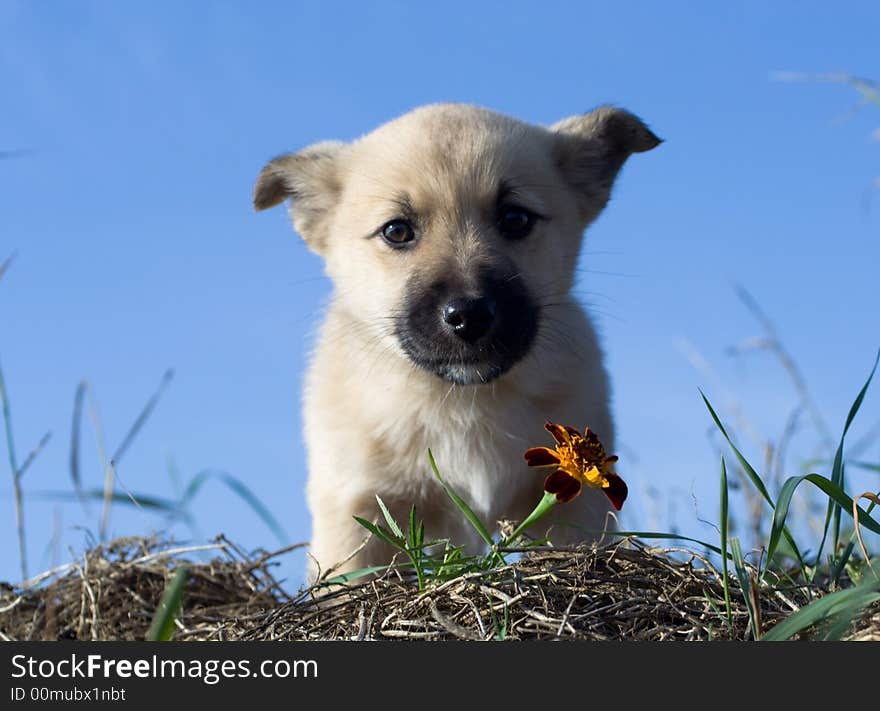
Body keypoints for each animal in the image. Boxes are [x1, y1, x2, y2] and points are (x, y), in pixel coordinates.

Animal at [251, 100, 656, 580]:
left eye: (515, 218)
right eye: (396, 231)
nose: (468, 315)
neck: (465, 401)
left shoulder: (571, 507)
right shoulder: (356, 507)